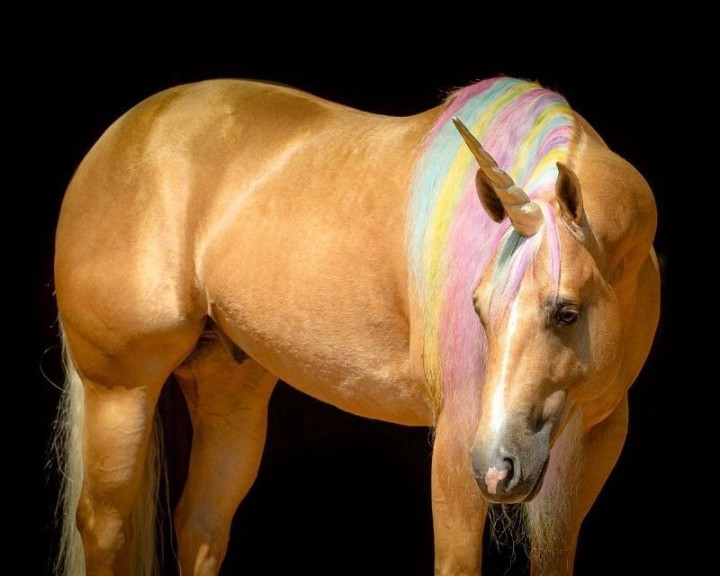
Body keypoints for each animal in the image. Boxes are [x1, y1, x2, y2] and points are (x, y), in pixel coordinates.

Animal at [53, 76, 660, 575]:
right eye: (479, 308)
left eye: (566, 312)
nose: (496, 468)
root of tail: (120, 137)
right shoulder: (459, 437)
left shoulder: (597, 443)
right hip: (120, 393)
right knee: (105, 528)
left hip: (230, 395)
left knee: (201, 526)